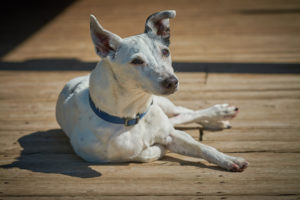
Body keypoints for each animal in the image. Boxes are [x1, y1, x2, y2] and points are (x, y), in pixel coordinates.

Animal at [56, 10, 248, 171]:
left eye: (165, 51)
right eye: (136, 61)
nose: (172, 82)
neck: (132, 114)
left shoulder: (171, 133)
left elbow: (203, 147)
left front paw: (228, 159)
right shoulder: (106, 155)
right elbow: (144, 153)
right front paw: (158, 148)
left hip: (166, 104)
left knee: (185, 112)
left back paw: (220, 114)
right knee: (179, 118)